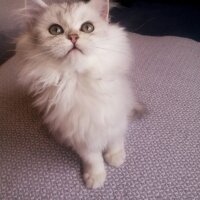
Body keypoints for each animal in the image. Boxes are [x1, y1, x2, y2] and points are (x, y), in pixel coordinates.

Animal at [16, 0, 141, 188]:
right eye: (55, 30)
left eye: (87, 27)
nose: (74, 37)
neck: (79, 81)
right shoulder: (81, 135)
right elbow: (93, 159)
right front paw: (95, 178)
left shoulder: (115, 118)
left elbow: (115, 141)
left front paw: (115, 158)